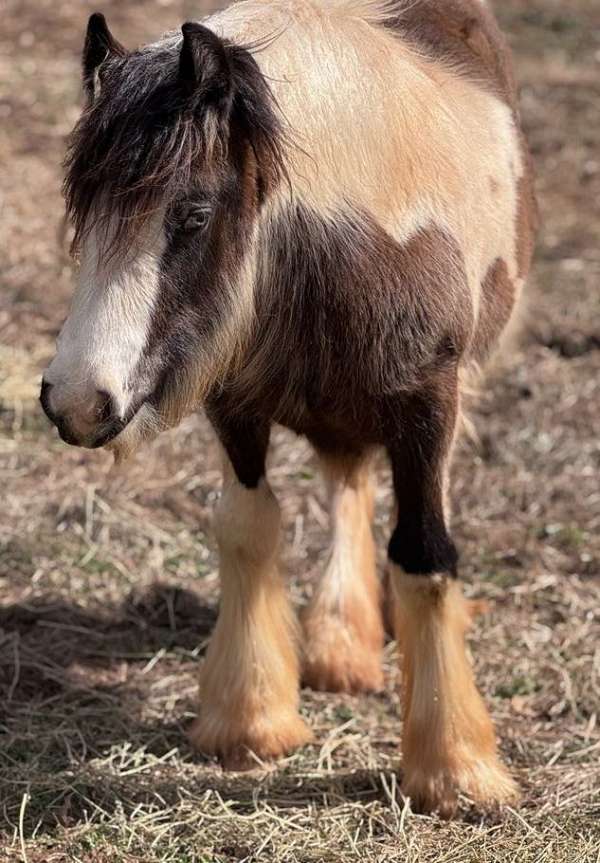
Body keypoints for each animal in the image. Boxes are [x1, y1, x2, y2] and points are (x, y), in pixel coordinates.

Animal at [42, 0, 540, 812]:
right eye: (83, 206)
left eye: (193, 216)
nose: (78, 402)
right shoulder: (235, 402)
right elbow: (248, 529)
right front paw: (250, 721)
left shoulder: (427, 403)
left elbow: (425, 553)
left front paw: (455, 772)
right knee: (347, 482)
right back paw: (341, 645)